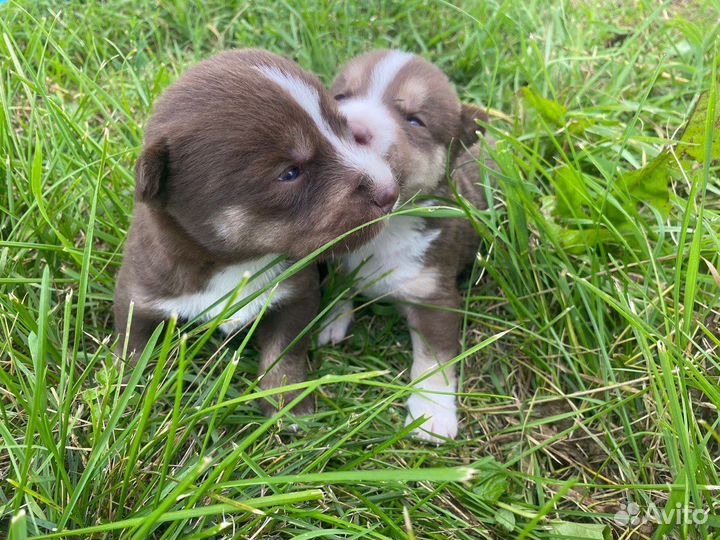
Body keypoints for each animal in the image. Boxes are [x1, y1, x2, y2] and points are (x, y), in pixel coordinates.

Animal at [116, 49, 400, 414]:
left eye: (345, 129)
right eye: (290, 173)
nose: (390, 191)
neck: (233, 264)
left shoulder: (297, 293)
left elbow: (283, 353)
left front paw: (286, 405)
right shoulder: (138, 296)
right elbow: (134, 351)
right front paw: (127, 400)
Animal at [324, 47, 492, 442]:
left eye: (415, 120)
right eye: (340, 97)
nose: (353, 128)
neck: (384, 229)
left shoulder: (435, 295)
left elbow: (435, 361)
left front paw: (431, 417)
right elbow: (339, 280)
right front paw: (330, 318)